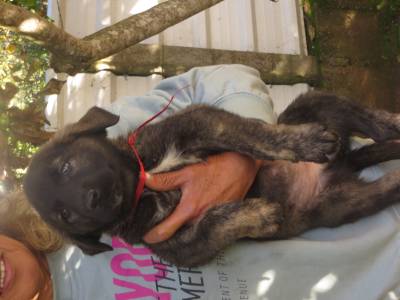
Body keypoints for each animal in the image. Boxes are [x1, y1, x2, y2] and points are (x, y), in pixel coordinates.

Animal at [23, 92, 400, 268]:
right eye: (64, 216)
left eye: (67, 166)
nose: (91, 200)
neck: (144, 188)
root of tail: (344, 163)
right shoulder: (179, 245)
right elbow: (212, 224)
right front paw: (258, 216)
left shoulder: (201, 123)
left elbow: (258, 136)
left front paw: (304, 144)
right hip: (344, 203)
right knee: (388, 184)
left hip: (318, 104)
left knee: (373, 121)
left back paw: (390, 124)